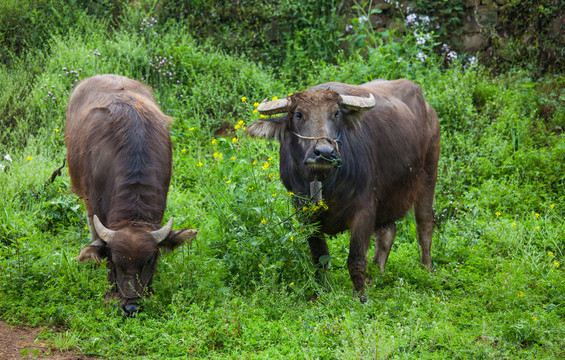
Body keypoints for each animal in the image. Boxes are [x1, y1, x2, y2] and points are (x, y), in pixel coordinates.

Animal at [248, 79, 440, 298]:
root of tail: (427, 107)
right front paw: (320, 293)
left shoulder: (364, 210)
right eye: (298, 114)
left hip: (429, 173)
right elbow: (319, 257)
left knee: (424, 224)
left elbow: (355, 259)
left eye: (336, 113)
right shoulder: (305, 214)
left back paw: (426, 269)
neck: (325, 182)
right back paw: (375, 275)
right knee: (387, 231)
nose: (324, 152)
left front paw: (360, 297)